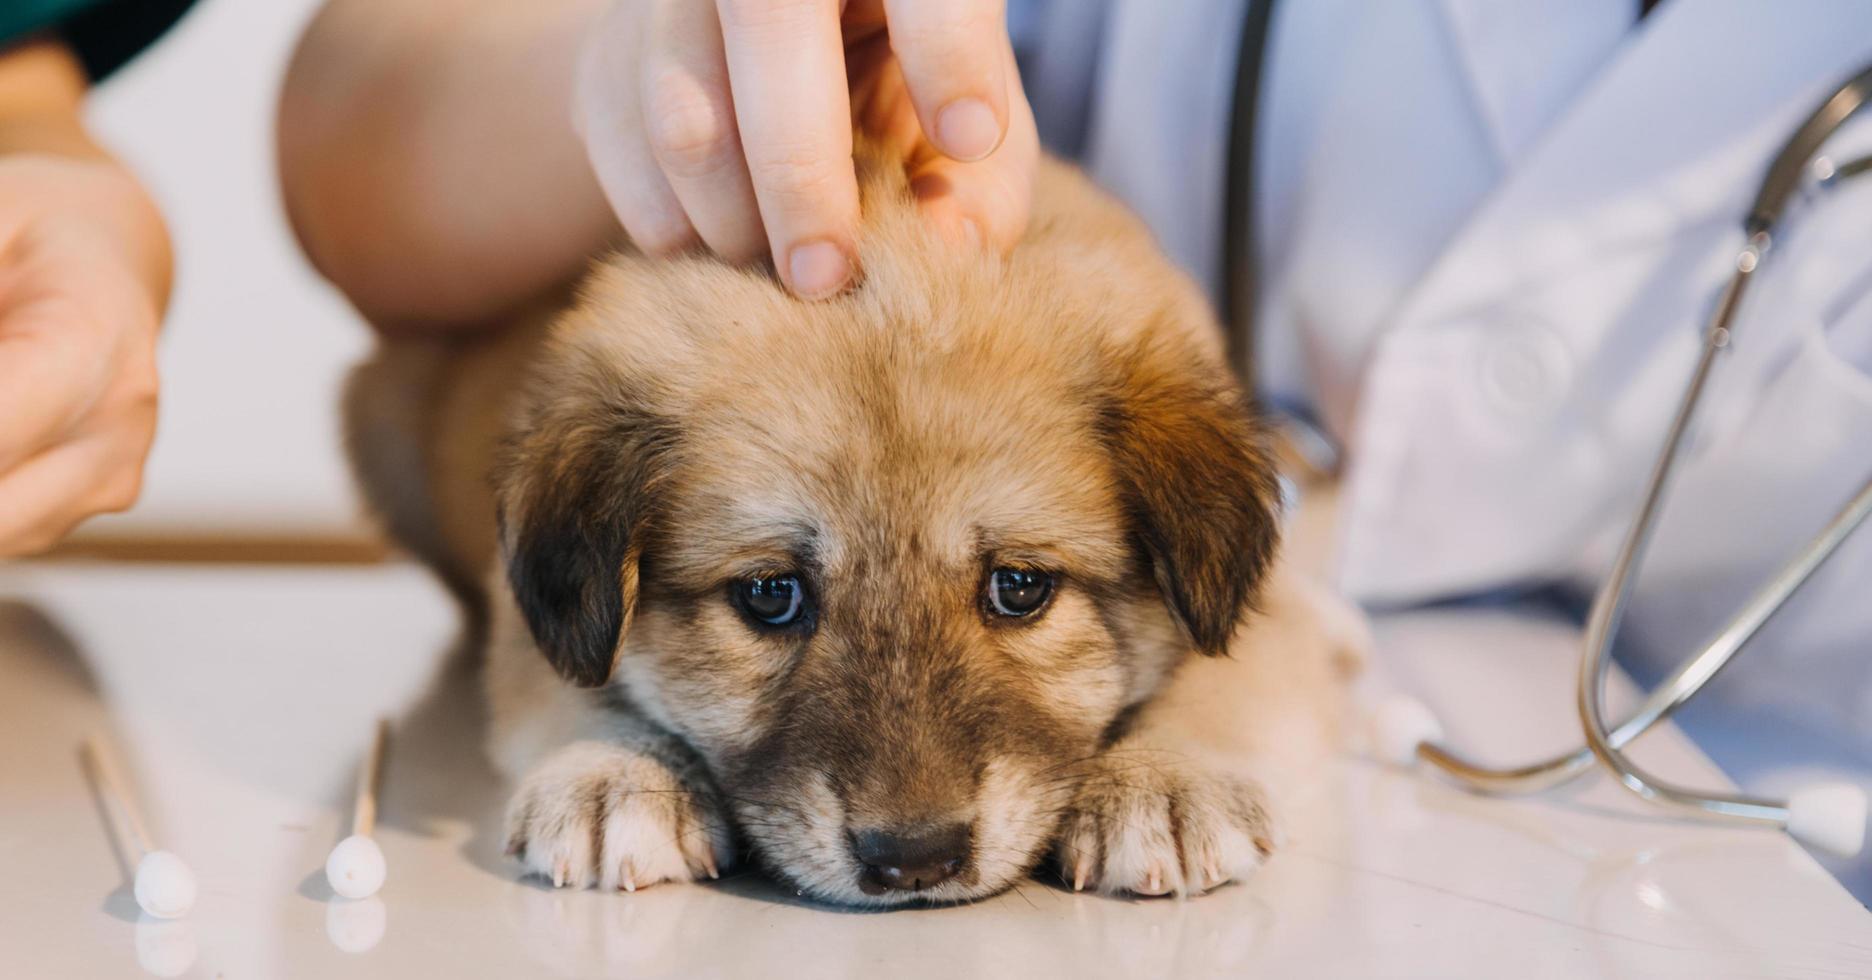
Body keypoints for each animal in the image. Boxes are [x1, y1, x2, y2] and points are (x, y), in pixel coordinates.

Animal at [348, 149, 1362, 908]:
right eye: (769, 595)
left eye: (1020, 587)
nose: (913, 860)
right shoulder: (528, 620)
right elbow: (571, 686)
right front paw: (614, 772)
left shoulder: (1256, 610)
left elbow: (1223, 679)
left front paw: (1163, 778)